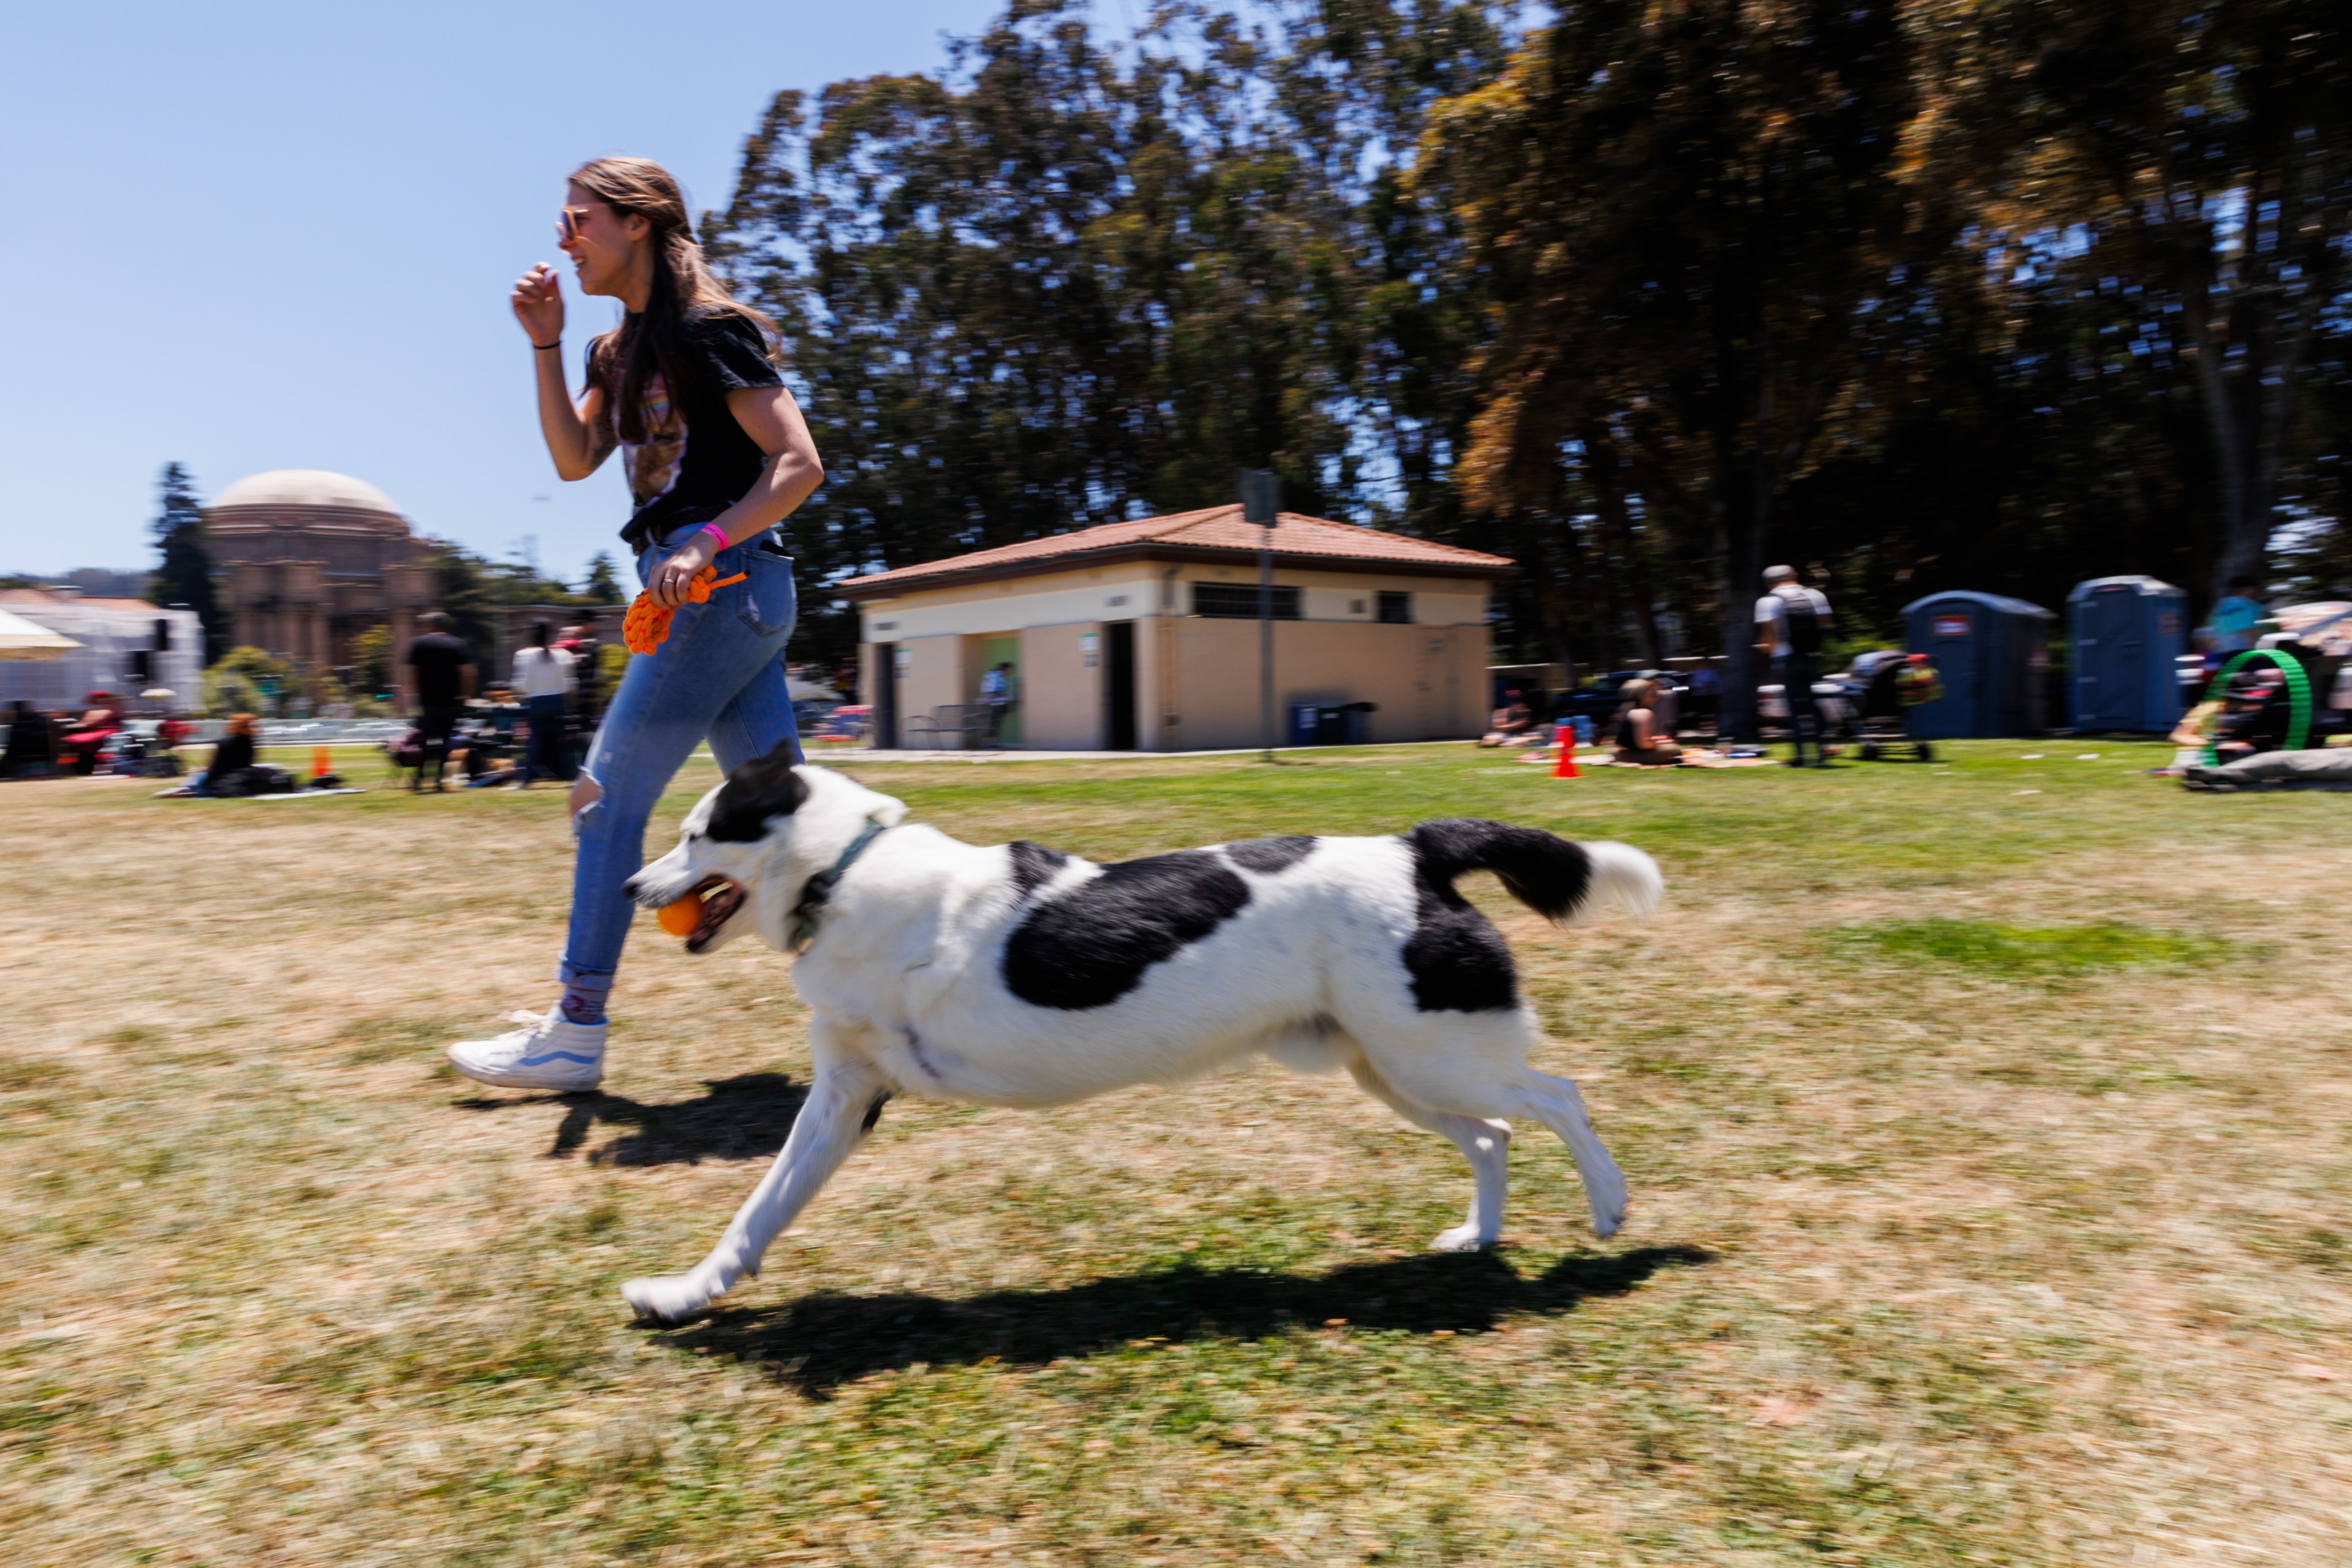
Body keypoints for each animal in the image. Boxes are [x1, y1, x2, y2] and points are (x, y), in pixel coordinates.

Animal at [616, 747, 1665, 1325]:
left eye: (700, 834)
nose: (627, 888)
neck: (840, 870)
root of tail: (1417, 851)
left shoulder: (860, 1085)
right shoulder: (841, 1097)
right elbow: (758, 1210)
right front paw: (686, 1294)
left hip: (1430, 1053)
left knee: (1557, 1098)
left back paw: (1610, 1209)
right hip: (1391, 1068)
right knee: (1494, 1135)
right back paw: (1477, 1236)